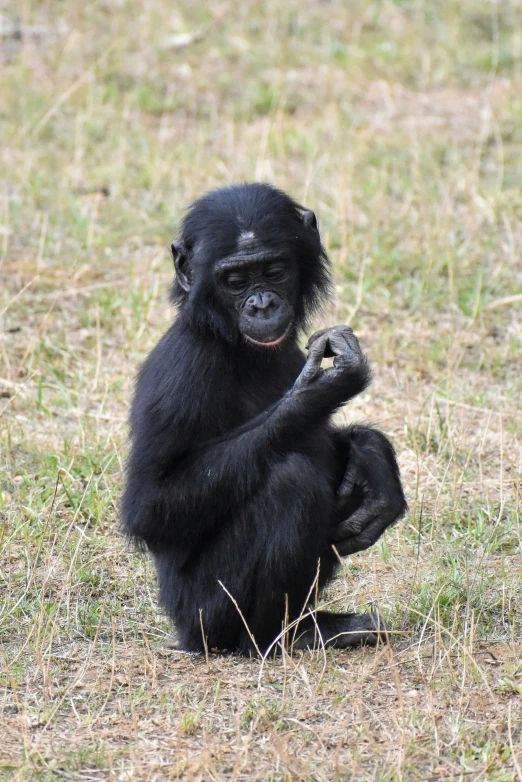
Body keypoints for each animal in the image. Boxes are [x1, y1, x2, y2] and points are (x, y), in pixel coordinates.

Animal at [123, 184, 406, 656]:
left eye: (274, 271)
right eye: (235, 281)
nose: (261, 303)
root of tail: (181, 632)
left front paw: (373, 456)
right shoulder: (182, 370)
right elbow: (150, 504)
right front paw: (317, 392)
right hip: (206, 615)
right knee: (291, 481)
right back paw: (278, 637)